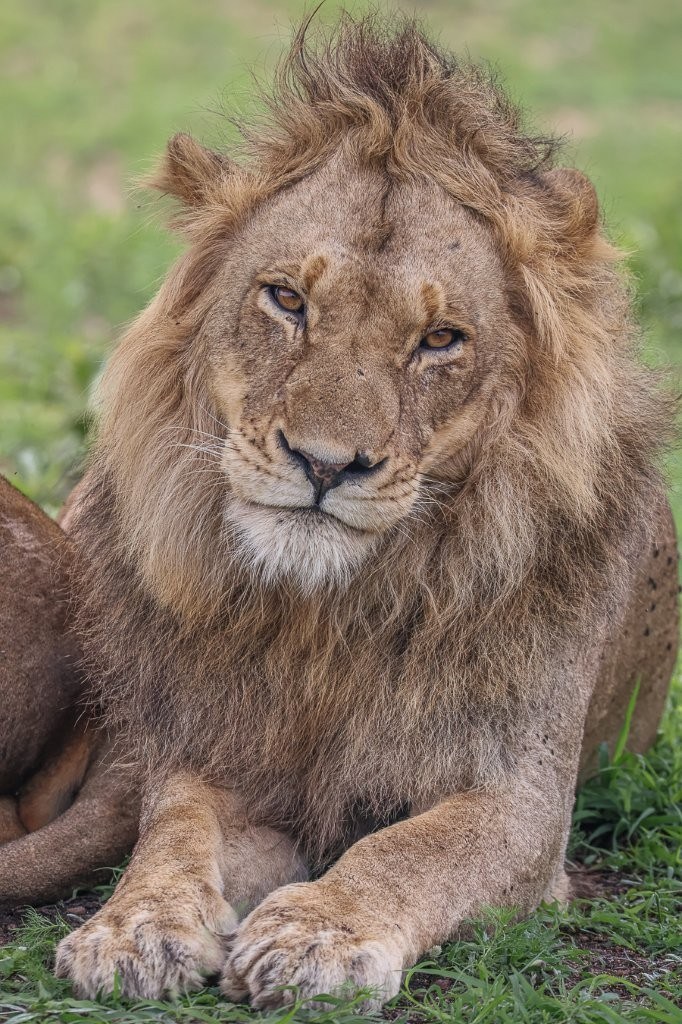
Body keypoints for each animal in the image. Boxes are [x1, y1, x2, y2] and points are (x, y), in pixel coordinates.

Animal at [0, 12, 677, 1009]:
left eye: (439, 340)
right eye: (287, 298)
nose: (324, 464)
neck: (328, 619)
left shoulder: (524, 801)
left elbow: (412, 847)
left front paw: (319, 932)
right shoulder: (219, 756)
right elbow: (171, 834)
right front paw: (132, 927)